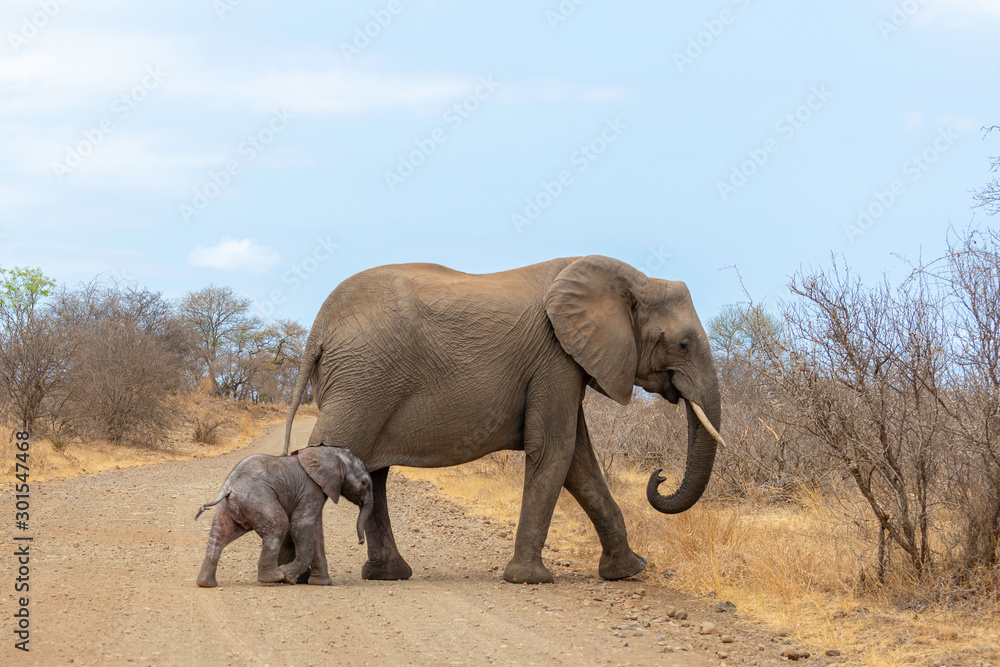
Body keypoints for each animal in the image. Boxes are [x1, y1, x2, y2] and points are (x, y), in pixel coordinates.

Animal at [195, 445, 373, 588]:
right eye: (364, 482)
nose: (360, 542)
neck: (329, 452)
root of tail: (229, 486)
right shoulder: (311, 489)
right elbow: (301, 524)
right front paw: (288, 577)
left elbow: (316, 531)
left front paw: (322, 583)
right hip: (257, 498)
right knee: (279, 525)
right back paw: (273, 577)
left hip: (230, 506)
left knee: (218, 536)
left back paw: (205, 584)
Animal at [282, 255, 725, 585]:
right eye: (684, 345)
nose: (661, 475)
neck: (632, 280)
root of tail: (318, 328)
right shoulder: (554, 357)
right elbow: (555, 449)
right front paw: (529, 579)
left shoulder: (564, 362)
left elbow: (579, 461)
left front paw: (629, 571)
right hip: (362, 379)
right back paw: (296, 575)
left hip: (365, 381)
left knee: (372, 473)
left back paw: (385, 575)